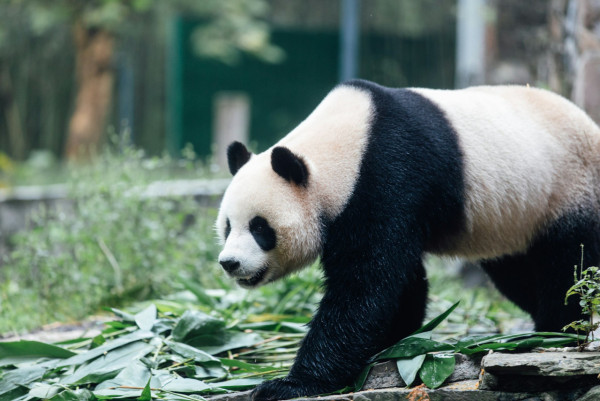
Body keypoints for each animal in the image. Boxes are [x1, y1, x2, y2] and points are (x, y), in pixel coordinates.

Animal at [216, 79, 600, 400]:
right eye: (227, 226)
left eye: (260, 228)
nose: (229, 263)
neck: (346, 145)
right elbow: (400, 282)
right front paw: (393, 341)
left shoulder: (389, 174)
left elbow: (365, 286)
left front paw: (289, 384)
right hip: (515, 222)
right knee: (518, 273)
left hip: (567, 189)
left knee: (569, 266)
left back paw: (556, 329)